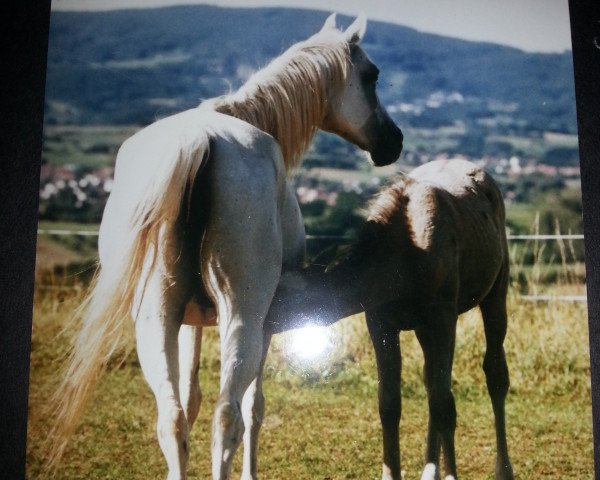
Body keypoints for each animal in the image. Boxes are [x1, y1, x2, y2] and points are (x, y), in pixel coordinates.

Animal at [47, 13, 404, 478]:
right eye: (371, 75)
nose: (394, 141)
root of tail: (200, 142)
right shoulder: (266, 323)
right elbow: (254, 407)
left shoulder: (189, 322)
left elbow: (191, 398)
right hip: (242, 319)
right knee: (227, 415)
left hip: (156, 320)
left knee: (172, 417)